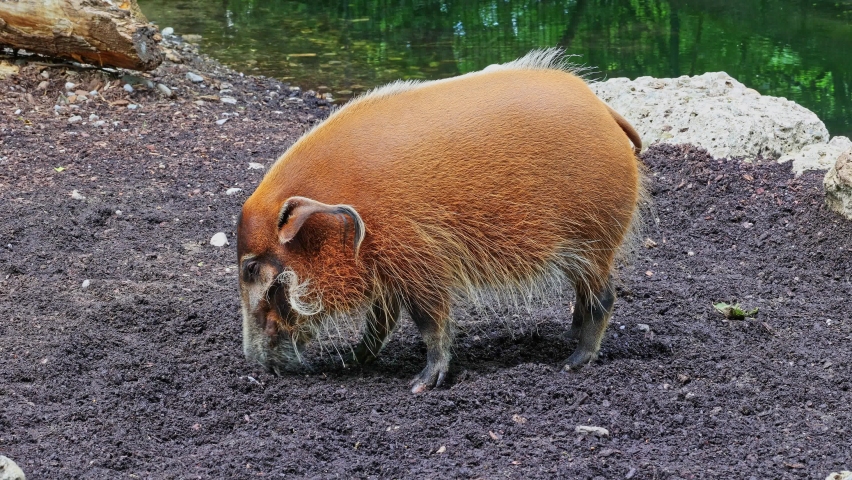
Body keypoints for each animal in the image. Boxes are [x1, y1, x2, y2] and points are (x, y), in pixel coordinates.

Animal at [237, 49, 646, 393]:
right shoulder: (384, 269)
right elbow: (379, 321)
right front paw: (354, 359)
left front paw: (422, 384)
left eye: (252, 269)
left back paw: (574, 361)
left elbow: (430, 321)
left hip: (594, 240)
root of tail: (604, 109)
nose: (257, 363)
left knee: (603, 297)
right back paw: (567, 338)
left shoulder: (419, 262)